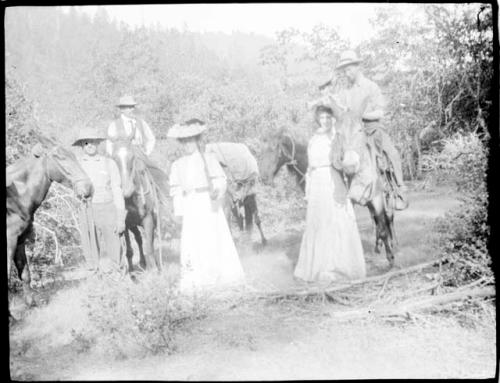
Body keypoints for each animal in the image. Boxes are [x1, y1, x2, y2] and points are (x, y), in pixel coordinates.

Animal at [6, 136, 93, 310]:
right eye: (59, 157)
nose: (88, 188)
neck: (14, 197)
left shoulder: (19, 240)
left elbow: (25, 273)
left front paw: (31, 304)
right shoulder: (9, 241)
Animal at [109, 141, 164, 272]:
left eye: (132, 157)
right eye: (114, 158)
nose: (126, 190)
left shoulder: (148, 219)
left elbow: (149, 246)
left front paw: (154, 270)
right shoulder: (125, 224)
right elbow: (129, 250)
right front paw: (131, 271)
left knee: (147, 240)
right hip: (133, 225)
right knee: (138, 237)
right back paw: (142, 263)